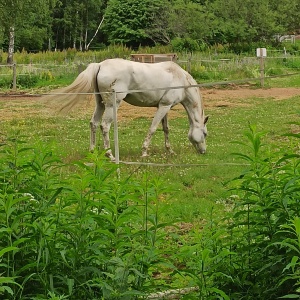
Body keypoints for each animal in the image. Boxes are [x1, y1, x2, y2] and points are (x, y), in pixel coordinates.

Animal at [45, 59, 209, 162]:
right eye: (205, 134)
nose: (203, 152)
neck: (180, 78)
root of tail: (100, 65)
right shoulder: (164, 106)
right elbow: (153, 128)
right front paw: (144, 152)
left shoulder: (164, 107)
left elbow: (166, 129)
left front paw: (170, 151)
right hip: (112, 105)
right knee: (104, 126)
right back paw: (110, 155)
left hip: (101, 104)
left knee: (93, 123)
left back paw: (92, 152)